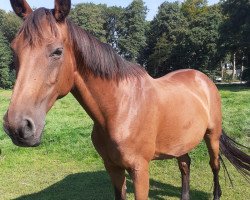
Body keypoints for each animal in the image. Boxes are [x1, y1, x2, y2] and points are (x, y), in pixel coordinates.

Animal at [2, 0, 249, 199]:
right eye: (14, 49)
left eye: (57, 51)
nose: (18, 127)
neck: (119, 109)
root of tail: (203, 79)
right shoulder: (113, 167)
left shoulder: (140, 170)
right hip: (181, 141)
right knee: (185, 165)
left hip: (212, 137)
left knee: (214, 166)